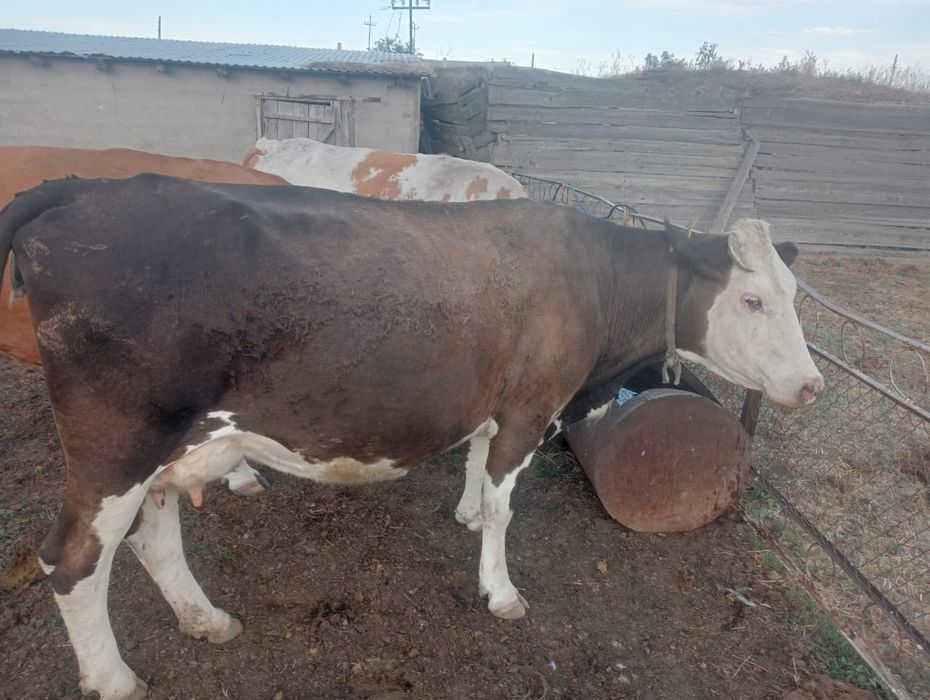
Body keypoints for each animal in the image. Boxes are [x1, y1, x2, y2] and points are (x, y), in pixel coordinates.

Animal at [0, 174, 822, 699]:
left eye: (792, 296)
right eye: (752, 299)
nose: (813, 385)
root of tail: (84, 187)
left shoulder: (496, 403)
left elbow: (478, 465)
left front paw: (464, 512)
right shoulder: (532, 405)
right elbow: (504, 505)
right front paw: (499, 589)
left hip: (166, 449)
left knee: (152, 535)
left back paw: (206, 620)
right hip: (116, 442)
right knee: (73, 558)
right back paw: (113, 679)